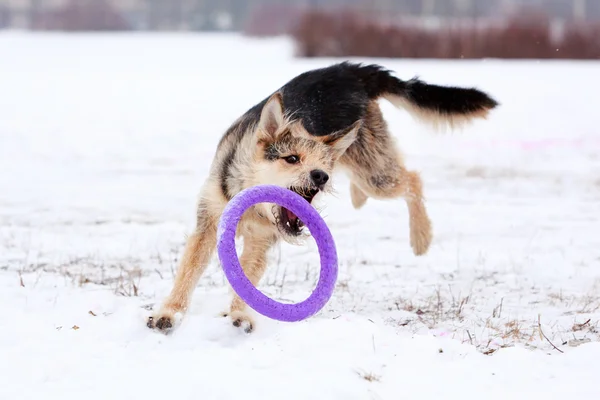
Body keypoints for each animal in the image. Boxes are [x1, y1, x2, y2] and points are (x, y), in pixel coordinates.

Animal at [146, 61, 496, 332]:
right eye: (291, 159)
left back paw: (421, 236)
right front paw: (170, 313)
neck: (254, 207)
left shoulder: (260, 241)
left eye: (323, 166)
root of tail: (350, 70)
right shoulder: (208, 226)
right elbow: (188, 271)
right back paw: (361, 200)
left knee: (412, 180)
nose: (321, 176)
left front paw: (240, 314)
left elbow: (246, 277)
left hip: (375, 173)